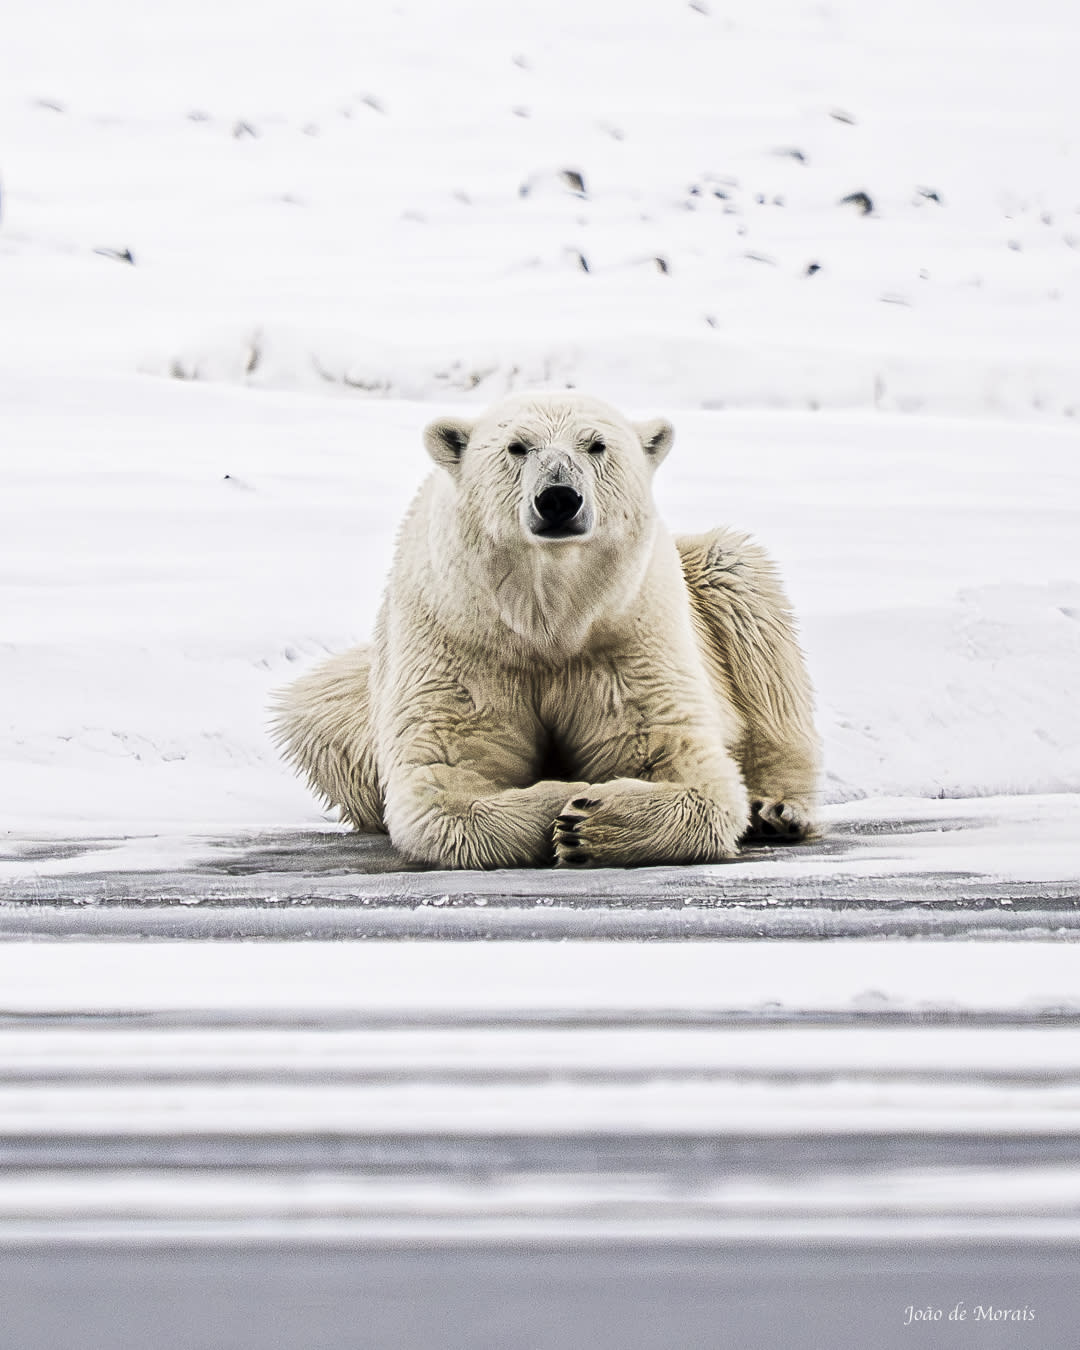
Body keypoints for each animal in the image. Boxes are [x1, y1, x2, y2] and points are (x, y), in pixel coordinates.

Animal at [274, 394, 820, 869]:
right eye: (518, 447)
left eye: (596, 445)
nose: (559, 499)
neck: (548, 621)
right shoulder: (463, 642)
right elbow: (447, 780)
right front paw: (565, 796)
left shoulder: (622, 638)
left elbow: (682, 763)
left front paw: (590, 820)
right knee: (314, 706)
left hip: (706, 582)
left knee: (752, 619)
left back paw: (777, 810)